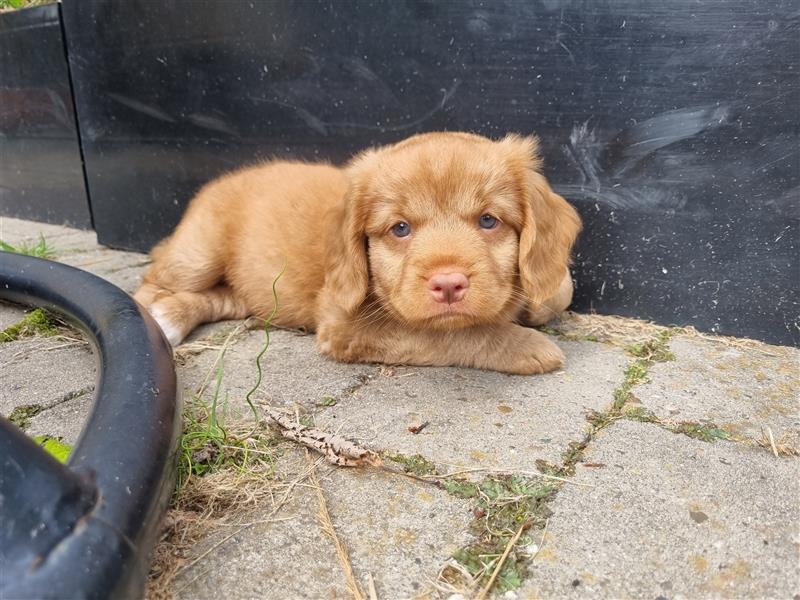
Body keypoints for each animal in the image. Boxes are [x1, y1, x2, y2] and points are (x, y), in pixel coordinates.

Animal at [133, 132, 580, 376]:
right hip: (196, 254)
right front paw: (526, 346)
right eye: (400, 228)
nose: (449, 284)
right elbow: (449, 332)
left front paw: (536, 301)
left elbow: (559, 292)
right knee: (151, 278)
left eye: (489, 221)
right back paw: (157, 317)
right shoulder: (345, 323)